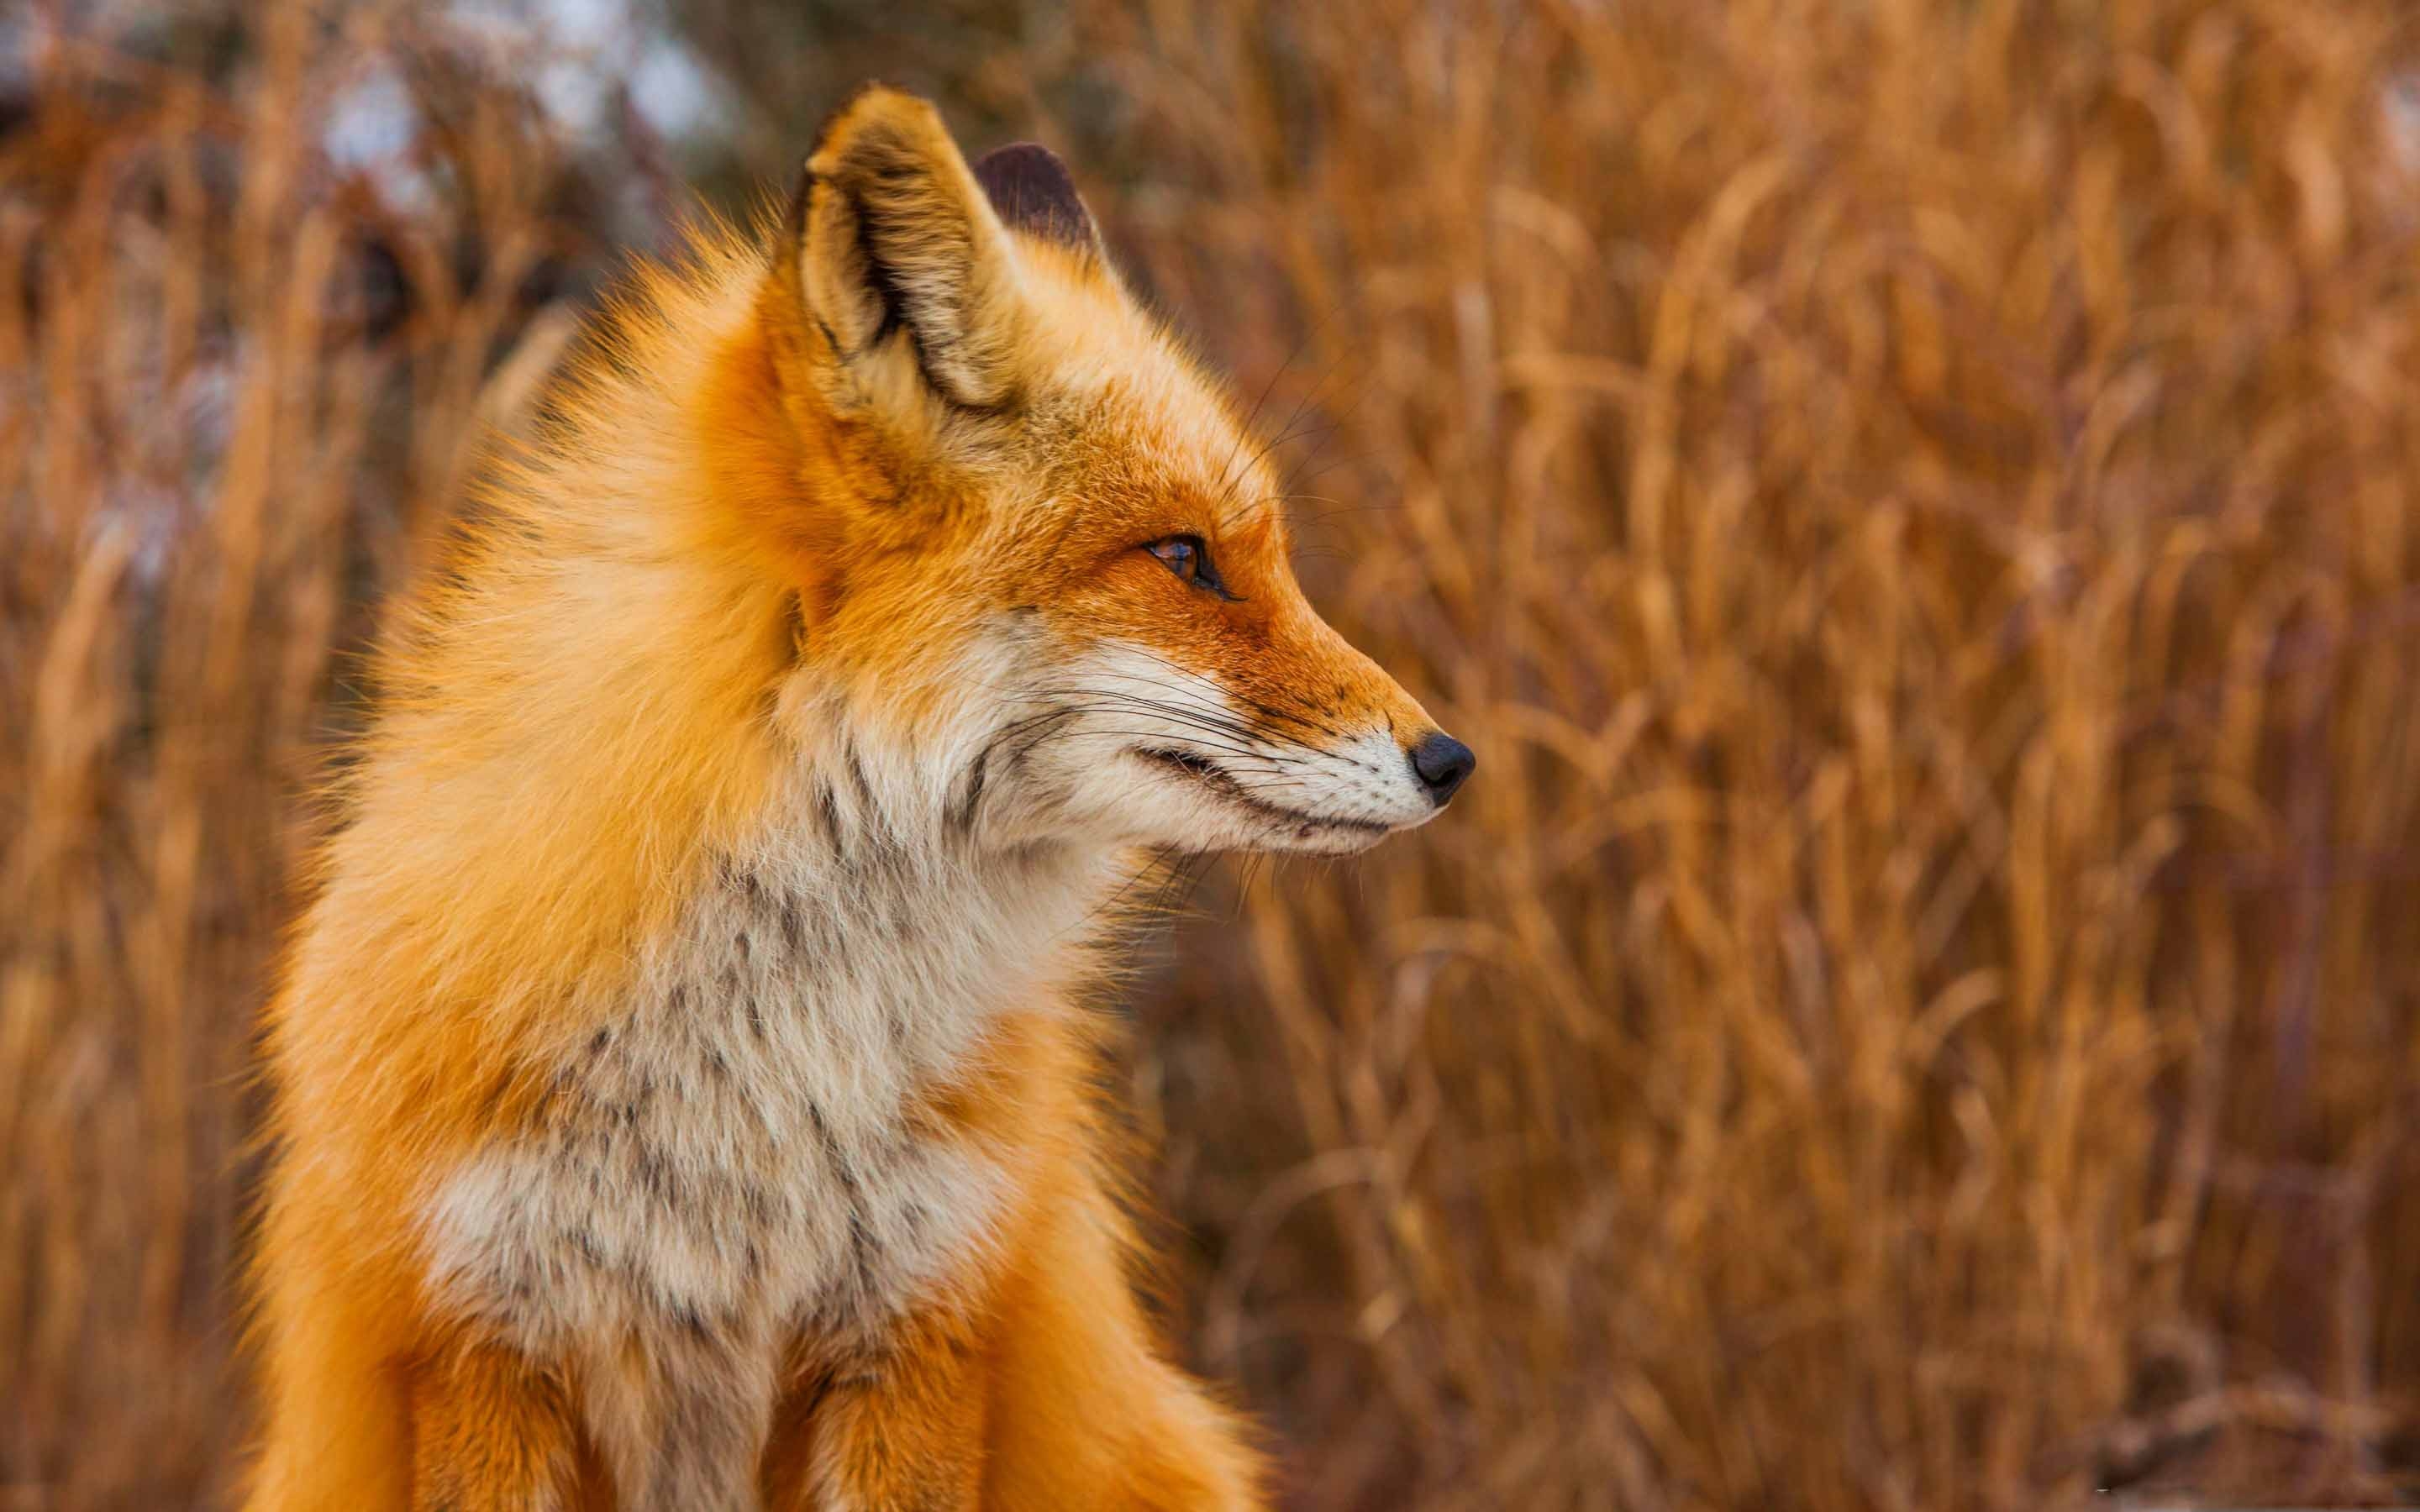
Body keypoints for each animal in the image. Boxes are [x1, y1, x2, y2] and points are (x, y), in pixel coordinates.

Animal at [240, 85, 1471, 1509]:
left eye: (1259, 555)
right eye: (1183, 558)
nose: (1451, 761)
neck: (759, 1062)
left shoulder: (921, 1329)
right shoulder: (477, 1347)